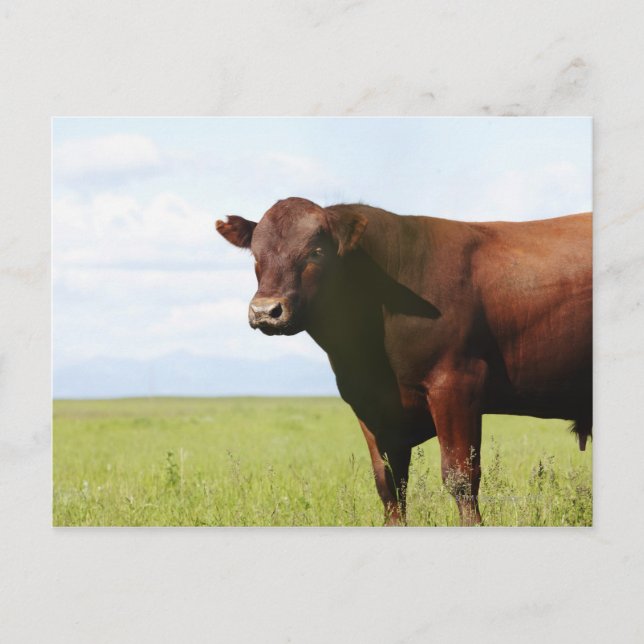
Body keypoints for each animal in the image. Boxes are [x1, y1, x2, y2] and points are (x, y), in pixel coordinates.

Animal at [216, 197, 592, 526]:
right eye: (256, 255)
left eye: (316, 251)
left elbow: (461, 477)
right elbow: (389, 483)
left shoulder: (456, 384)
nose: (266, 311)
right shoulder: (369, 404)